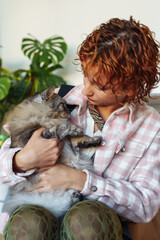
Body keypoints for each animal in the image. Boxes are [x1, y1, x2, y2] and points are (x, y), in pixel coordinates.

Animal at [4, 86, 102, 219]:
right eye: (62, 105)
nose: (70, 113)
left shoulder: (68, 143)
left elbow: (79, 138)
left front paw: (92, 139)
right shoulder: (30, 135)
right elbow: (55, 130)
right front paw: (72, 128)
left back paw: (75, 195)